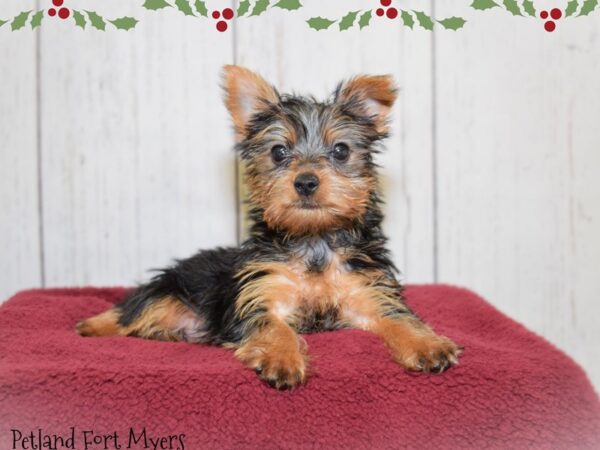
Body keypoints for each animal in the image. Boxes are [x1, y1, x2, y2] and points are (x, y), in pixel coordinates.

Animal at [75, 65, 460, 388]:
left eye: (340, 151)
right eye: (278, 152)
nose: (305, 181)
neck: (313, 240)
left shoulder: (367, 291)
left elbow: (398, 317)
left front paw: (427, 345)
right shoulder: (261, 291)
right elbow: (273, 326)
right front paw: (281, 359)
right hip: (172, 287)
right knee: (134, 310)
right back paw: (92, 325)